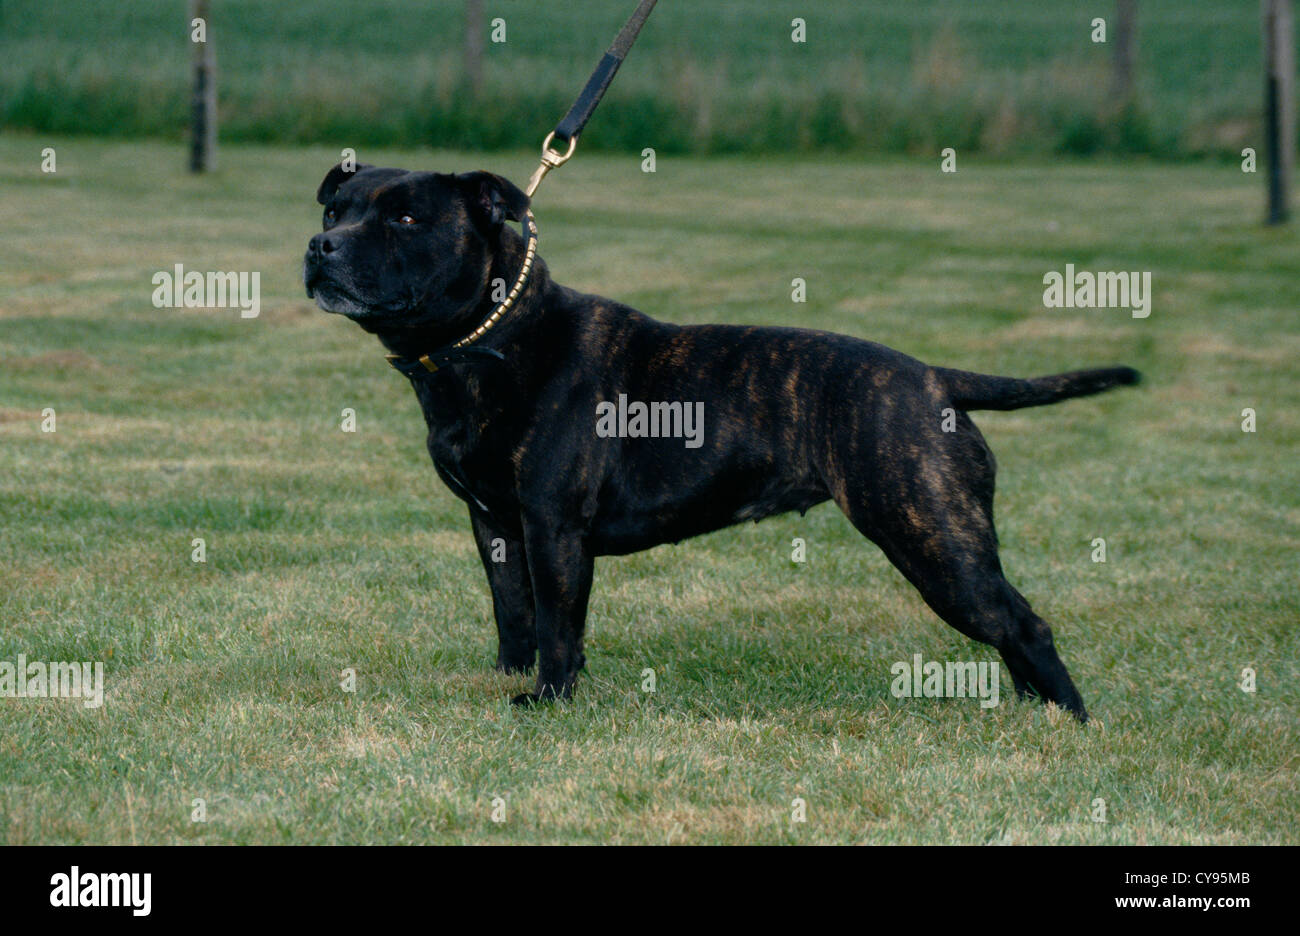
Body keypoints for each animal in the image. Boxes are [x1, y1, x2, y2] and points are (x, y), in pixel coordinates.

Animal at [304, 161, 1138, 722]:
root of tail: (934, 378)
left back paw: (1071, 725)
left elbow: (557, 625)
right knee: (1008, 628)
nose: (321, 247)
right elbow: (513, 614)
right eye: (335, 209)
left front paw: (549, 702)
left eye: (406, 219)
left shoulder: (553, 528)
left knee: (1021, 622)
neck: (488, 341)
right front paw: (507, 677)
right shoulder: (494, 524)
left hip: (932, 540)